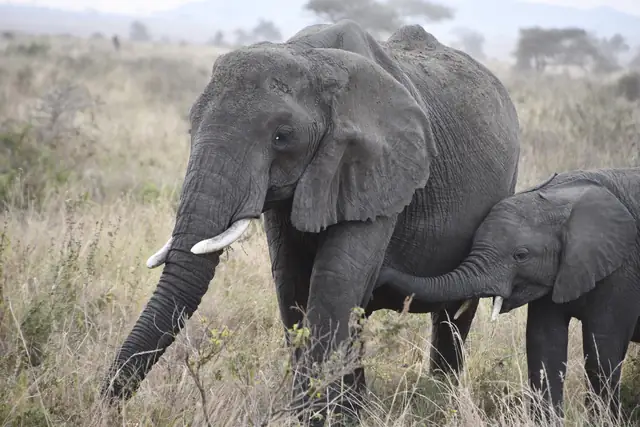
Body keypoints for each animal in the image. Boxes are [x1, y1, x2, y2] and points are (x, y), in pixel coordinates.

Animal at [101, 19, 521, 418]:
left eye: (282, 137)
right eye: (191, 125)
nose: (104, 405)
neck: (314, 60)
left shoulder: (381, 166)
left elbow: (335, 280)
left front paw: (319, 415)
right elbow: (291, 280)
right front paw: (331, 413)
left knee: (454, 313)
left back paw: (437, 402)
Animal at [375, 167, 640, 422]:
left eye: (521, 255)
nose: (380, 273)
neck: (563, 196)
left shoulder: (624, 270)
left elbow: (602, 351)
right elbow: (544, 343)